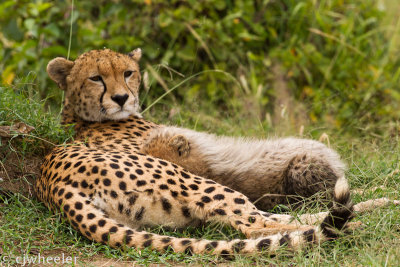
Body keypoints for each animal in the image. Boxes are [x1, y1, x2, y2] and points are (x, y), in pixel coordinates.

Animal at [36, 48, 368, 258]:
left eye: (128, 73)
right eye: (96, 78)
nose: (120, 98)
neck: (82, 118)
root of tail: (56, 186)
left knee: (275, 216)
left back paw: (359, 212)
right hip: (198, 184)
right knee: (254, 226)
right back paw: (352, 225)